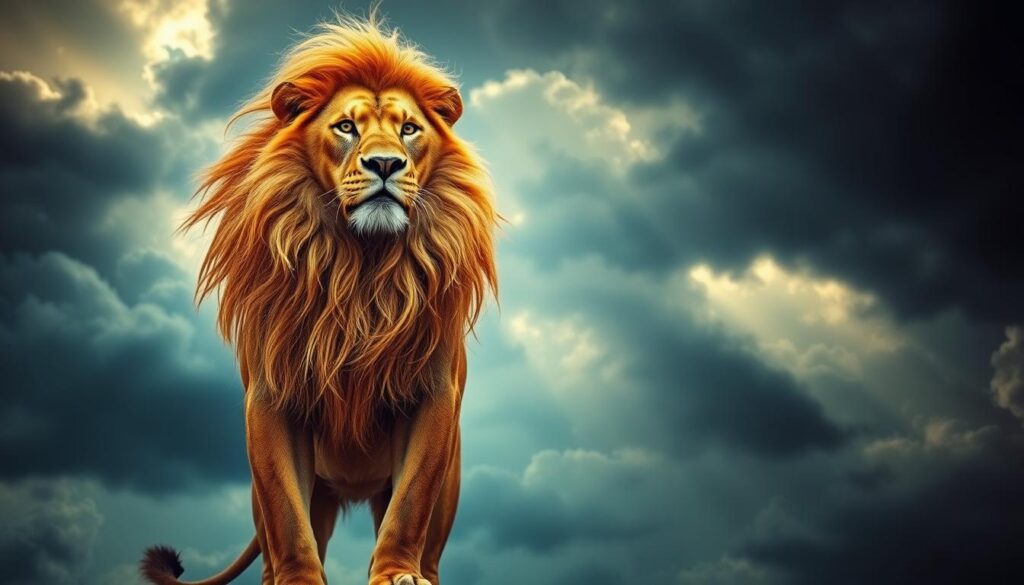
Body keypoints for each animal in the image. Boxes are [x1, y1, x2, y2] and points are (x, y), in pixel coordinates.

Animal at [140, 16, 497, 585]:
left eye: (409, 130)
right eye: (346, 127)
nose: (384, 163)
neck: (362, 267)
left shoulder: (434, 393)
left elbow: (410, 504)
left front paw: (396, 573)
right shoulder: (271, 396)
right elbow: (286, 513)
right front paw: (298, 579)